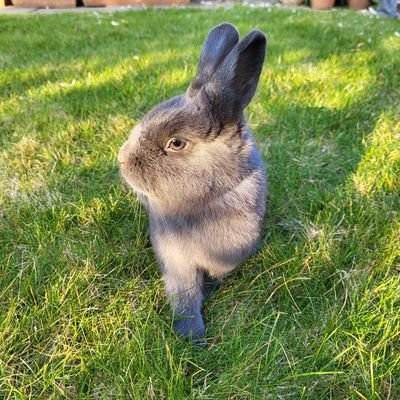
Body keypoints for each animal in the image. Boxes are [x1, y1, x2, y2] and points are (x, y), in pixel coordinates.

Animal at [119, 22, 268, 340]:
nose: (122, 161)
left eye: (176, 143)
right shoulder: (175, 260)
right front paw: (191, 333)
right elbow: (184, 293)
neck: (204, 202)